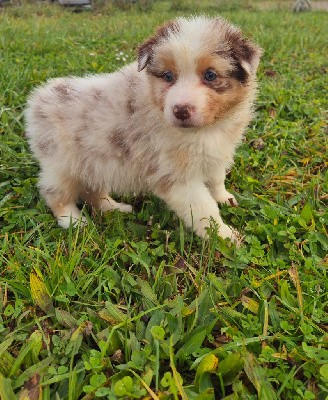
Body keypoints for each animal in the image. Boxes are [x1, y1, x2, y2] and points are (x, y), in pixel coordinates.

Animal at [25, 16, 262, 241]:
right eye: (168, 76)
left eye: (210, 75)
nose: (180, 110)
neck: (204, 130)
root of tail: (38, 98)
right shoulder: (176, 177)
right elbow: (204, 209)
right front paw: (225, 237)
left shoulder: (217, 152)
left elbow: (216, 178)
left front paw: (225, 198)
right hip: (62, 165)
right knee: (55, 194)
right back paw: (73, 220)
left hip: (94, 163)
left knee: (93, 192)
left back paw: (114, 208)